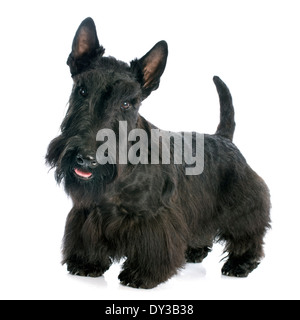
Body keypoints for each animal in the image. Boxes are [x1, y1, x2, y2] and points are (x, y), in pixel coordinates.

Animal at [46, 16, 272, 288]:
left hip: (241, 203)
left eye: (127, 103)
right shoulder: (88, 212)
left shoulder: (153, 216)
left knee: (247, 233)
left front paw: (141, 274)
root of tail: (224, 138)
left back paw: (240, 263)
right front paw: (86, 263)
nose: (87, 159)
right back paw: (193, 251)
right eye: (82, 90)